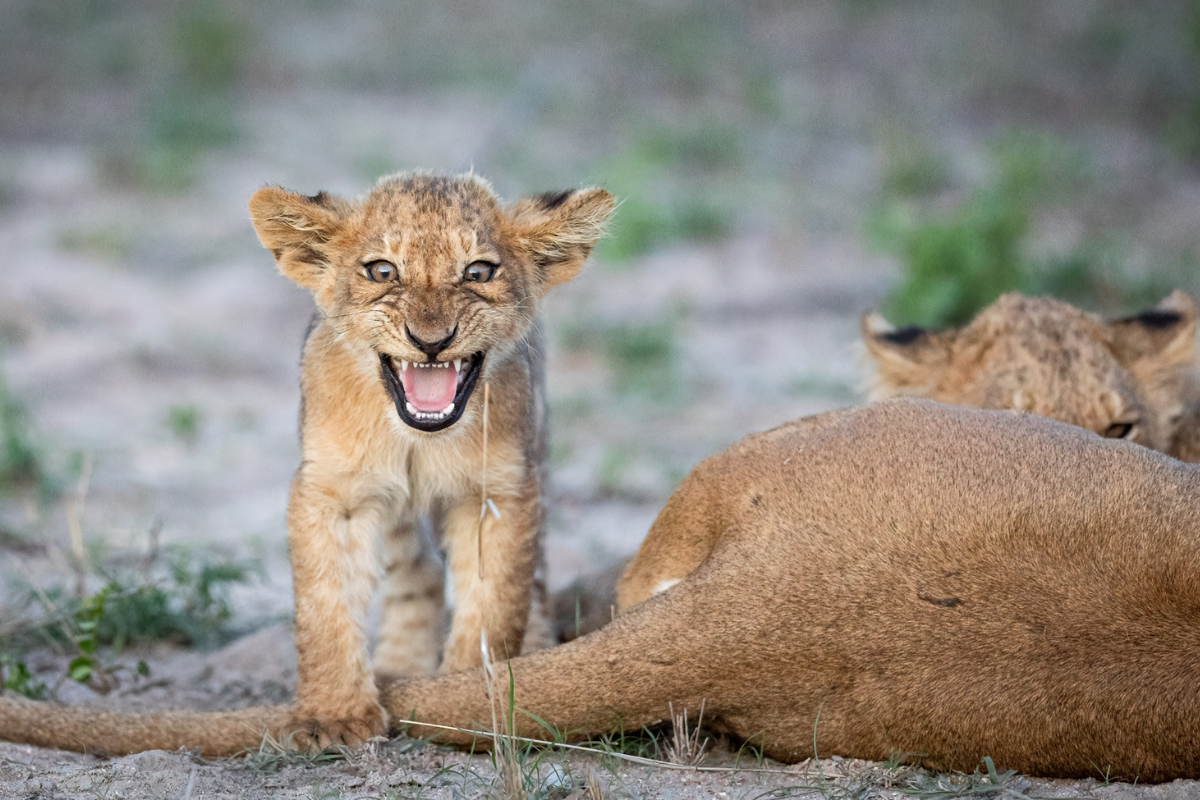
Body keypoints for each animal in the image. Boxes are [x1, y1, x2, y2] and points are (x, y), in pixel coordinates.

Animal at [243, 173, 613, 748]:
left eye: (478, 272)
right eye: (382, 271)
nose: (431, 341)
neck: (417, 439)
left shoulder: (498, 491)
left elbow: (494, 602)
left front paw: (467, 693)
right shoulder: (333, 493)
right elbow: (325, 607)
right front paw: (332, 717)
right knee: (417, 571)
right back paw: (399, 666)